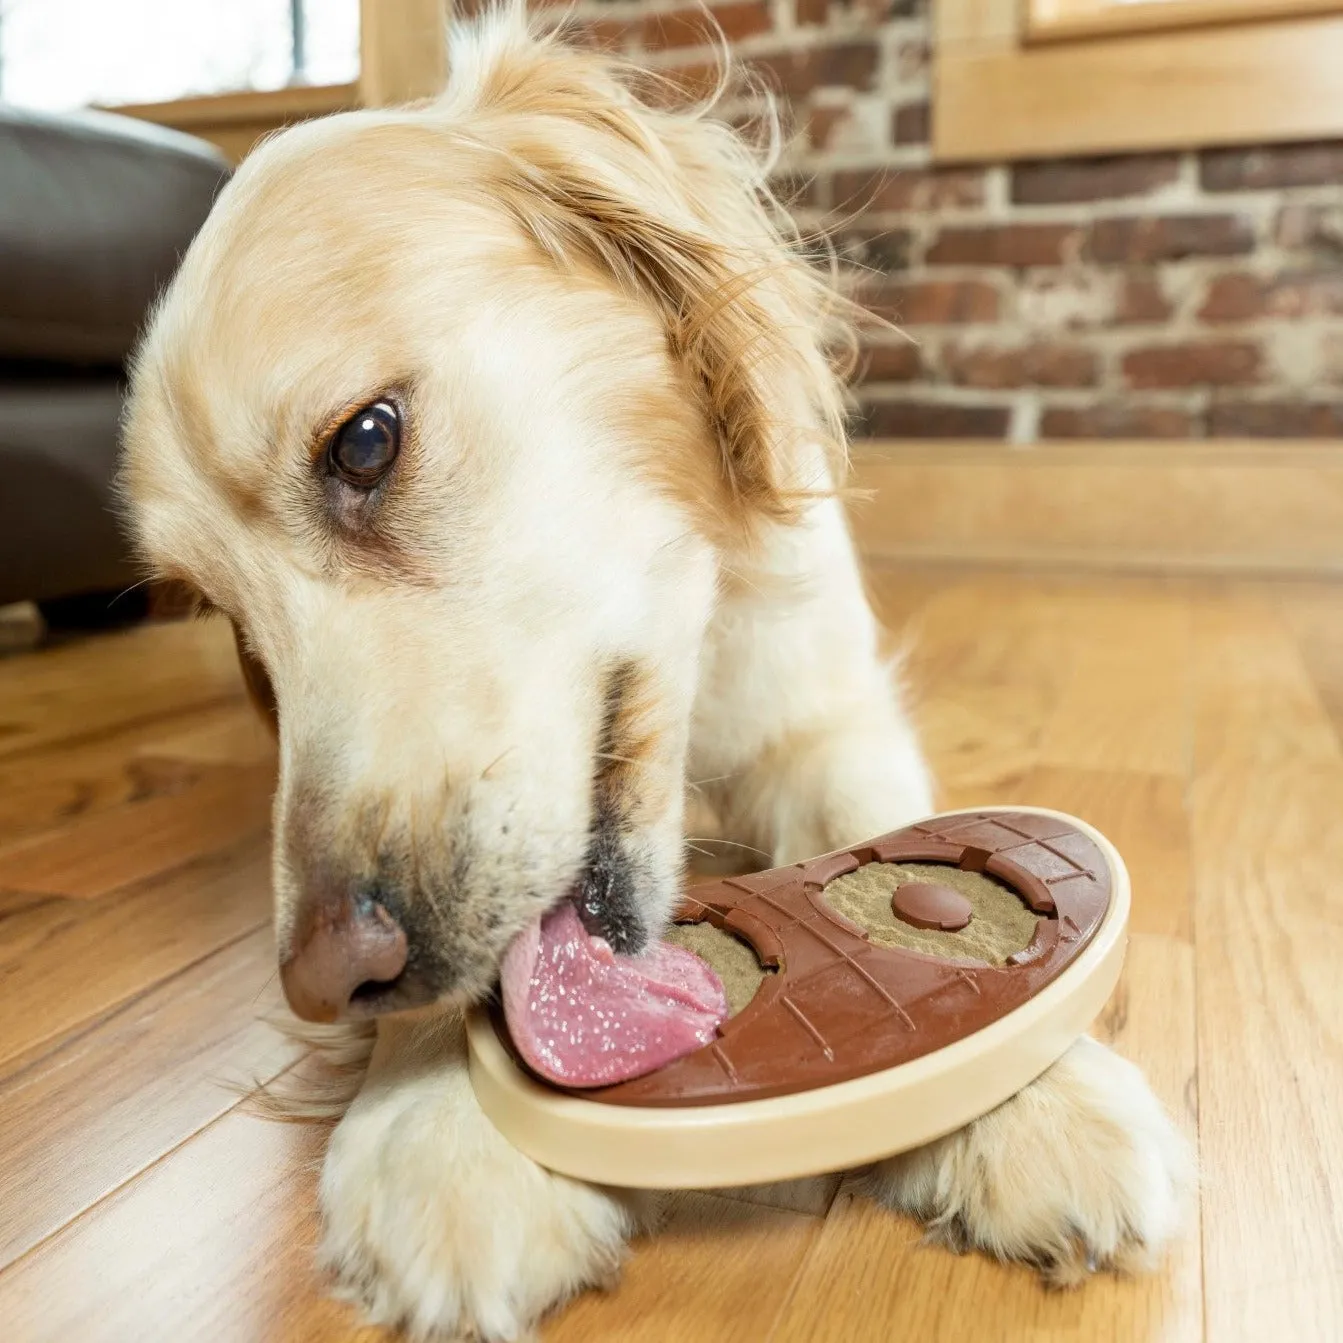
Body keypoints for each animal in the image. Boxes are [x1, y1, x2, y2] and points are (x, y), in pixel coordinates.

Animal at [120, 7, 1192, 1332]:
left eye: (363, 442)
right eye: (223, 610)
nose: (330, 980)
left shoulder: (824, 713)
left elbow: (894, 832)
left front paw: (1036, 1092)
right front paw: (442, 1130)